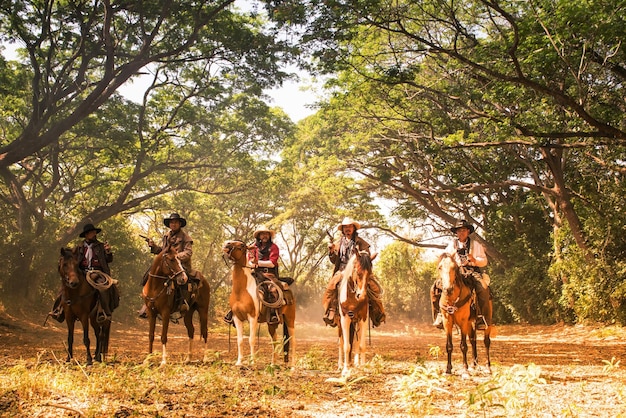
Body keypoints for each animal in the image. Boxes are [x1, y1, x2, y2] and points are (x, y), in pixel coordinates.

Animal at [222, 240, 294, 368]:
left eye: (242, 246)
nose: (226, 243)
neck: (241, 290)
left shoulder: (252, 317)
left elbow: (251, 339)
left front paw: (252, 362)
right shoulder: (237, 318)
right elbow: (240, 340)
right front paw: (239, 362)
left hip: (290, 319)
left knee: (293, 340)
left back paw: (293, 365)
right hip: (272, 324)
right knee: (275, 341)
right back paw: (272, 364)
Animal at [336, 250, 370, 378]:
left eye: (370, 274)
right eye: (358, 273)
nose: (362, 296)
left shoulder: (363, 318)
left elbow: (361, 345)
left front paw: (363, 367)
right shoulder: (345, 319)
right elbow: (346, 346)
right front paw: (345, 370)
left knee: (356, 341)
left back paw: (356, 363)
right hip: (340, 323)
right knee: (341, 342)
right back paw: (340, 365)